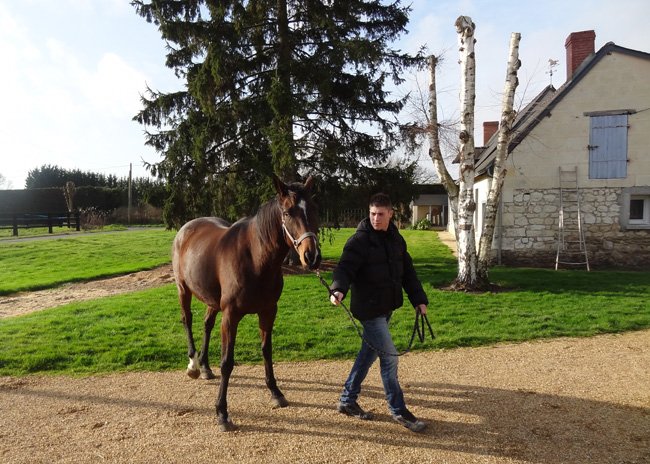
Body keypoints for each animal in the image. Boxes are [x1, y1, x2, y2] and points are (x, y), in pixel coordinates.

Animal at [172, 174, 321, 431]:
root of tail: (185, 229)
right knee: (187, 320)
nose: (311, 256)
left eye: (312, 208)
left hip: (212, 301)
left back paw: (205, 367)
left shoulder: (268, 312)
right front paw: (222, 412)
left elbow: (266, 351)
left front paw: (276, 392)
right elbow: (227, 362)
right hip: (184, 289)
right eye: (288, 212)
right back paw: (193, 364)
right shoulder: (231, 316)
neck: (255, 258)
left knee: (206, 324)